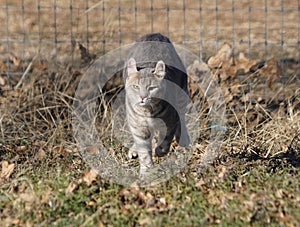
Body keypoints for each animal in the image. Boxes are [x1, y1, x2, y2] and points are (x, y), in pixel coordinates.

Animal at [122, 32, 190, 175]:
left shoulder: (170, 121)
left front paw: (160, 151)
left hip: (182, 96)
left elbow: (166, 138)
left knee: (182, 118)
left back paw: (184, 139)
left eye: (151, 88)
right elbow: (143, 149)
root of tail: (155, 34)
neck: (148, 111)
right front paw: (146, 171)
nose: (143, 97)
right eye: (136, 87)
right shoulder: (138, 126)